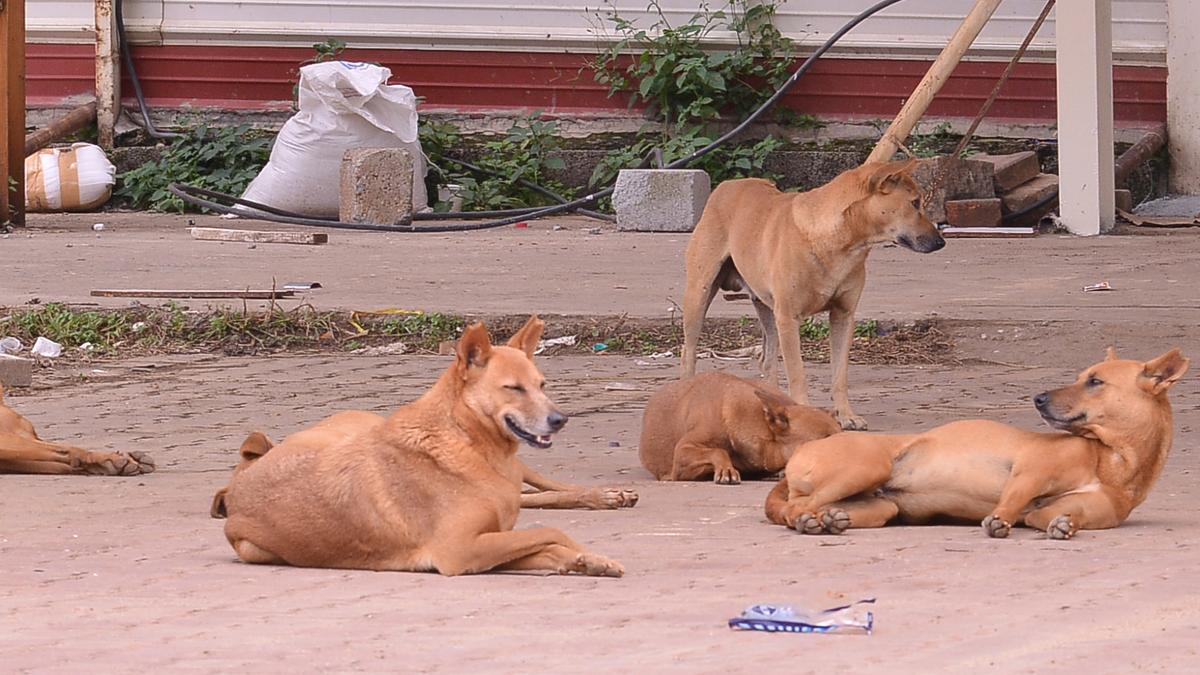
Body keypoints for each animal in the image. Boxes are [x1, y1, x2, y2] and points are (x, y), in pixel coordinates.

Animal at [218, 314, 628, 571]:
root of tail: (238, 483)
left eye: (542, 385)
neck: (466, 443)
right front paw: (582, 556)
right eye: (513, 388)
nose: (560, 420)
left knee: (540, 487)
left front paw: (590, 560)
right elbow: (548, 533)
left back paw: (605, 495)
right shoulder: (461, 550)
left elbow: (545, 536)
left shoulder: (485, 541)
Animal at [681, 159, 940, 427]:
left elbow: (840, 374)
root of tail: (725, 186)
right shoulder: (788, 318)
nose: (940, 241)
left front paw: (846, 414)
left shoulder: (843, 316)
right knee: (688, 352)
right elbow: (797, 373)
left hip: (767, 310)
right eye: (915, 203)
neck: (837, 240)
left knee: (767, 359)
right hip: (699, 295)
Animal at [768, 348, 1190, 538]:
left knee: (824, 508)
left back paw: (830, 520)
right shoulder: (1030, 470)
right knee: (795, 508)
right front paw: (999, 519)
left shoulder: (1054, 511)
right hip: (868, 466)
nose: (1037, 399)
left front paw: (1062, 525)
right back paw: (807, 520)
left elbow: (1053, 516)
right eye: (1082, 377)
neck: (1113, 459)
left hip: (881, 507)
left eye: (1096, 382)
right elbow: (1014, 498)